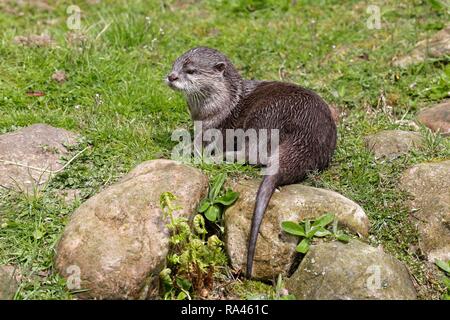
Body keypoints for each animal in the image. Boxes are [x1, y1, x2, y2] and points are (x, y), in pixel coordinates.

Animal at [167, 46, 336, 278]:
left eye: (191, 70)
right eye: (174, 65)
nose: (171, 76)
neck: (223, 105)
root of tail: (308, 134)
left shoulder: (210, 128)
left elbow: (198, 144)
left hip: (265, 116)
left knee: (252, 154)